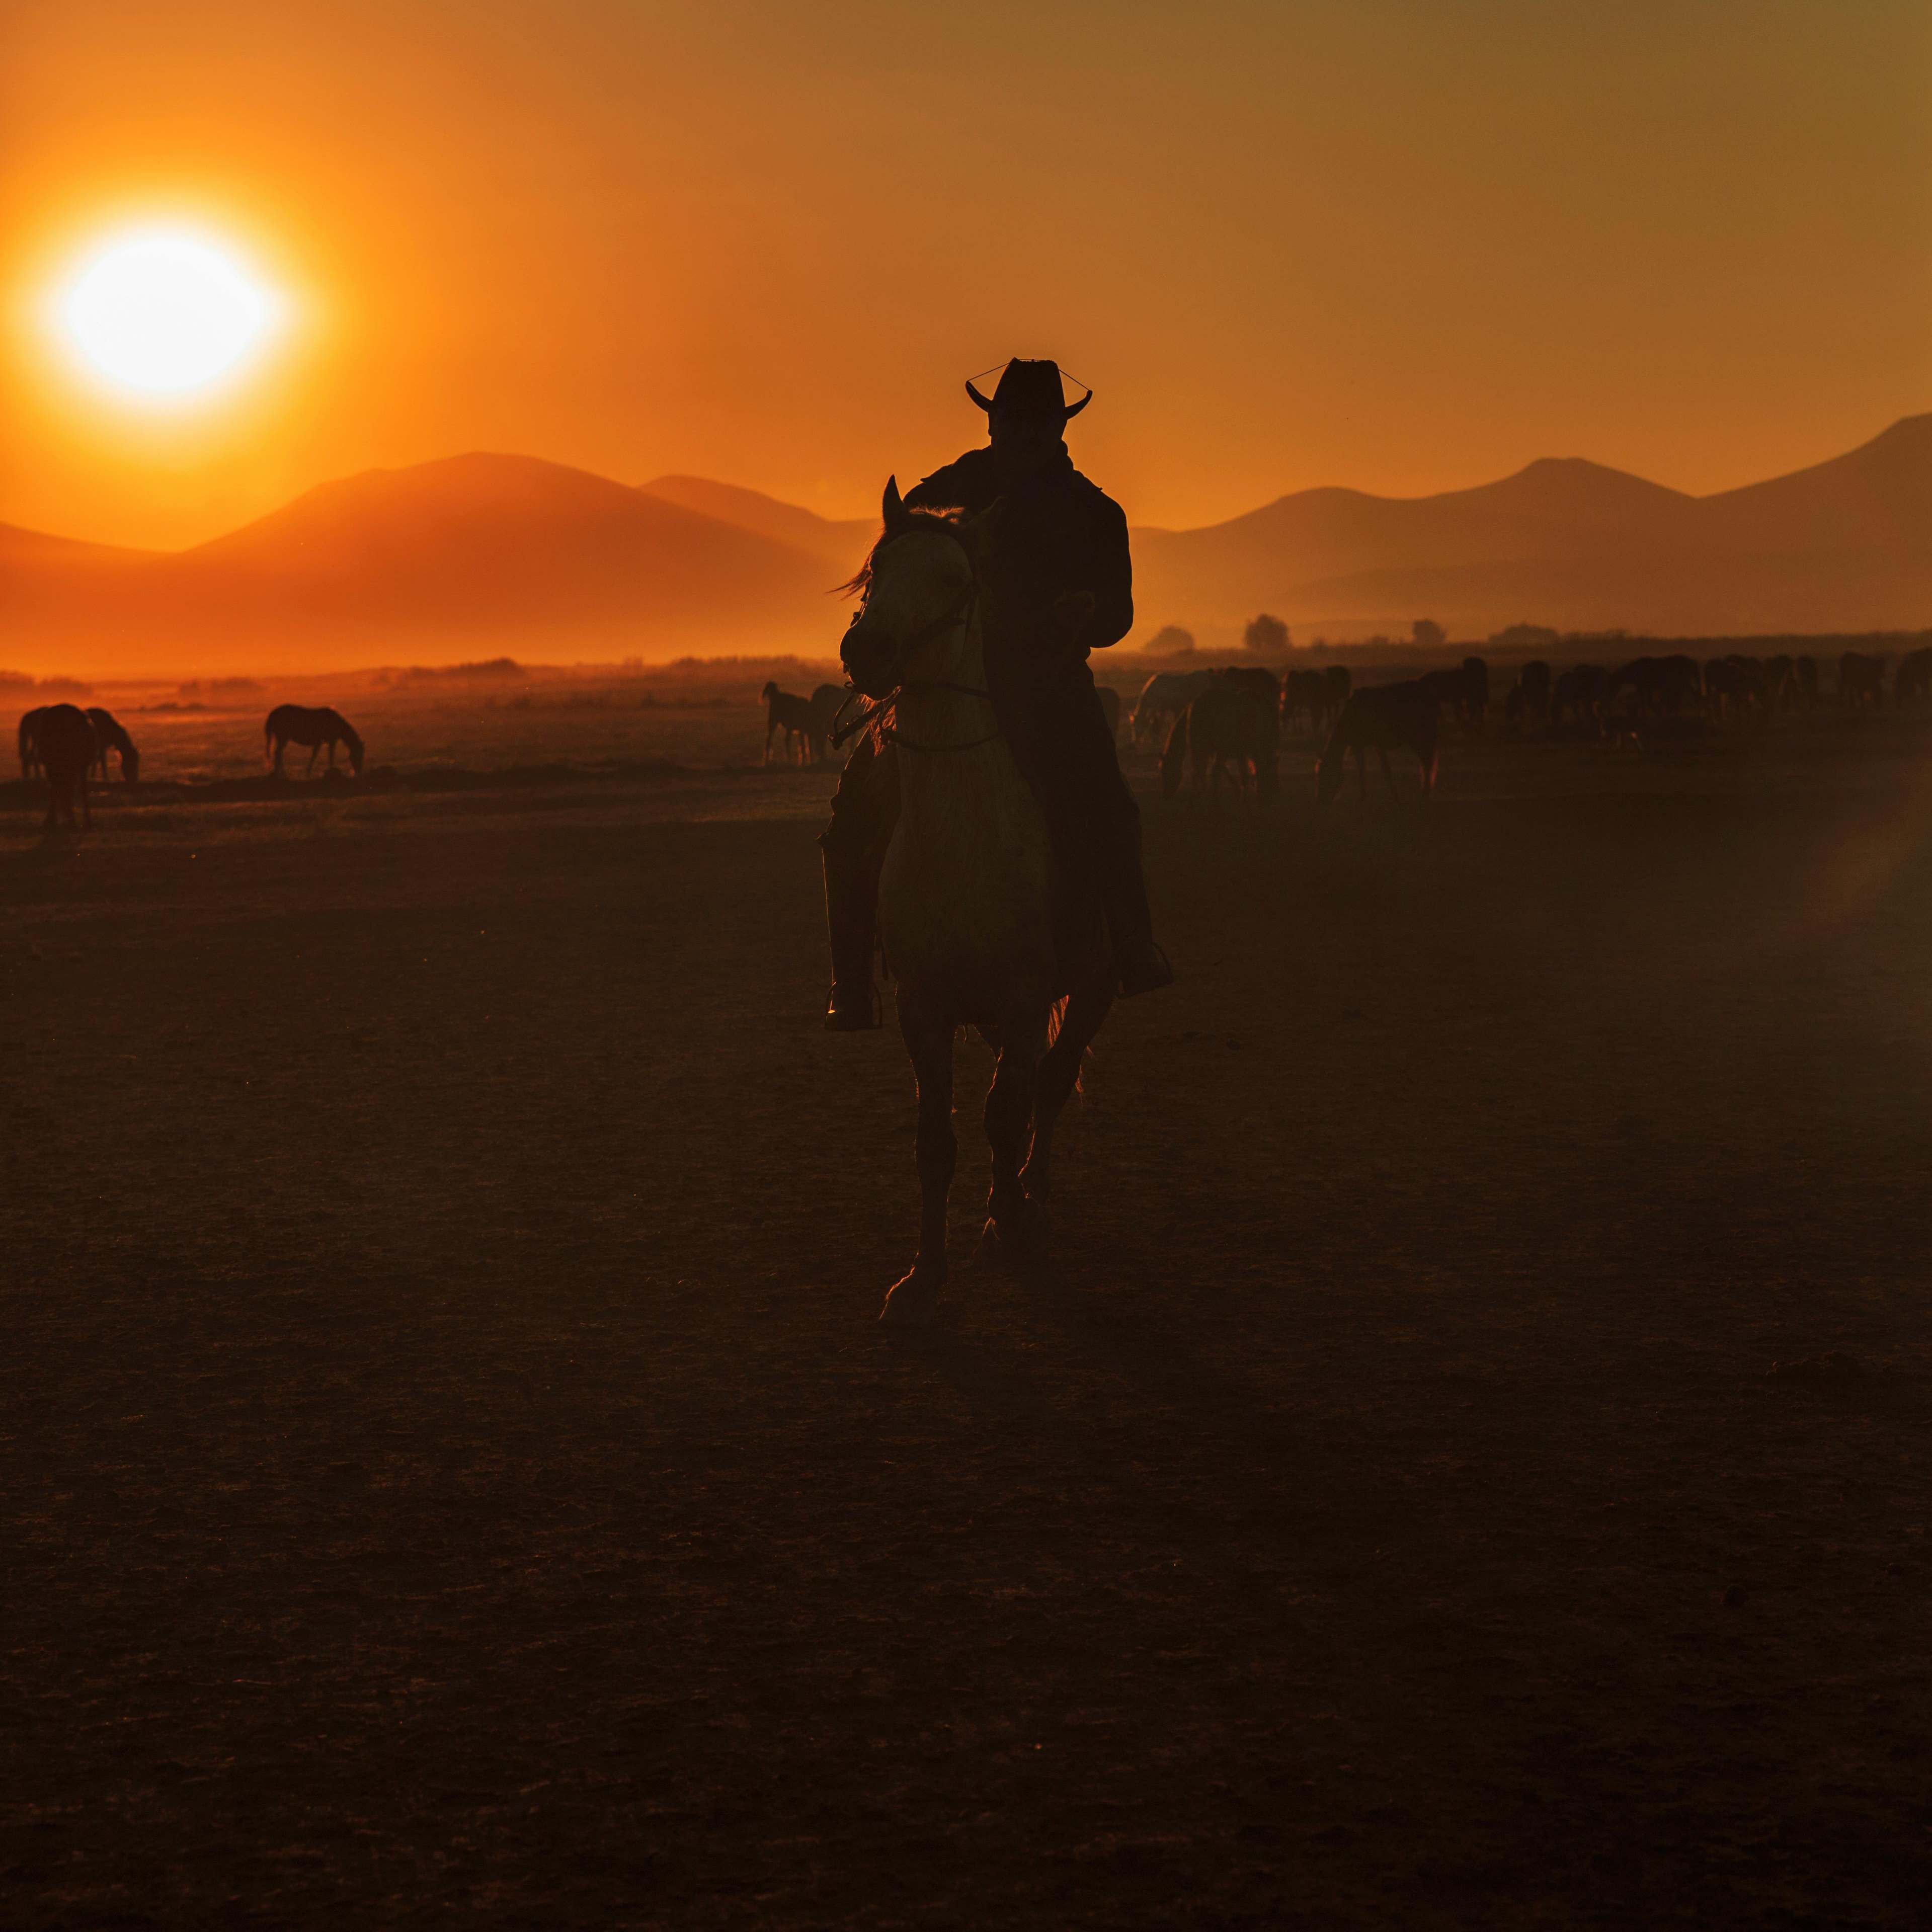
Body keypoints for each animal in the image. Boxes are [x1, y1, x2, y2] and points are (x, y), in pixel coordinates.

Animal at [85, 707, 141, 780]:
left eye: (137, 763)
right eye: (131, 764)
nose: (134, 779)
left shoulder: (102, 747)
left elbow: (97, 761)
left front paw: (93, 776)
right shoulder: (101, 746)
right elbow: (102, 763)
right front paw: (105, 778)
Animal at [266, 703, 363, 776]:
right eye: (358, 755)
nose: (358, 772)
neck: (336, 723)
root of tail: (273, 713)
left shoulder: (319, 742)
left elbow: (315, 756)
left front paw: (309, 771)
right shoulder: (331, 742)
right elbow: (330, 756)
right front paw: (331, 771)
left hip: (282, 738)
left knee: (279, 752)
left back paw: (279, 772)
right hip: (283, 738)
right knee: (278, 752)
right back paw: (281, 772)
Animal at [834, 483, 1120, 1329]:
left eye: (955, 582)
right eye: (876, 570)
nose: (867, 650)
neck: (963, 836)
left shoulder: (1026, 1000)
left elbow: (1005, 1115)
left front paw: (1012, 1226)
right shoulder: (924, 1009)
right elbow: (938, 1138)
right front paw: (922, 1277)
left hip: (1091, 988)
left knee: (1049, 1090)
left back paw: (1031, 1207)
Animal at [1159, 684, 1282, 803]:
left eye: (1166, 771)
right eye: (1163, 772)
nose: (1165, 796)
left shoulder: (1228, 751)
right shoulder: (1229, 751)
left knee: (1203, 772)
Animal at [1321, 684, 1445, 803]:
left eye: (1328, 774)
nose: (1321, 800)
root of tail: (1434, 701)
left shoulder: (1374, 745)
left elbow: (1383, 770)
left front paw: (1393, 797)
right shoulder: (1361, 746)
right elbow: (1365, 770)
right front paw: (1364, 797)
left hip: (1419, 738)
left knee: (1427, 763)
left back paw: (1425, 794)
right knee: (1427, 763)